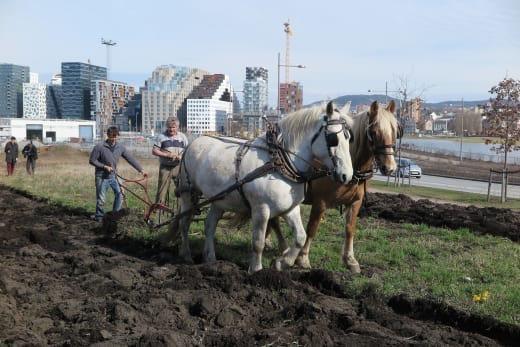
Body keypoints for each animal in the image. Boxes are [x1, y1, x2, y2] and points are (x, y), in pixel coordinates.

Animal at [174, 101, 354, 274]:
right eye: (333, 139)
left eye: (349, 138)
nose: (347, 175)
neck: (280, 163)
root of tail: (193, 142)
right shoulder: (261, 209)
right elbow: (258, 242)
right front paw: (256, 270)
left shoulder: (291, 208)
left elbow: (300, 237)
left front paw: (282, 263)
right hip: (188, 193)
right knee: (184, 222)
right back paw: (186, 255)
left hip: (219, 199)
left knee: (210, 225)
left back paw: (210, 259)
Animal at [268, 100, 398, 274]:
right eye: (374, 132)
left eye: (395, 131)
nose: (389, 167)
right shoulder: (320, 203)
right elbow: (312, 228)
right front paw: (303, 258)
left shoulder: (355, 202)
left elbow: (350, 229)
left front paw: (350, 260)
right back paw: (282, 247)